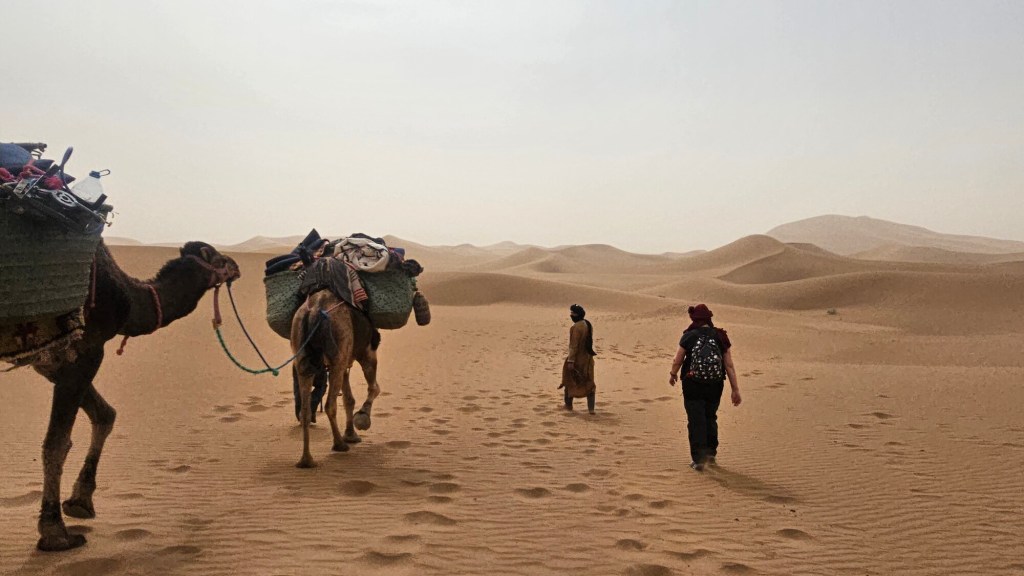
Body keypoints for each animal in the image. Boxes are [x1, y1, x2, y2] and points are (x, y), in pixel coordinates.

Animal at [7, 240, 239, 552]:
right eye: (217, 258)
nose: (236, 267)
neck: (128, 296)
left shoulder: (51, 358)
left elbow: (105, 414)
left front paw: (80, 501)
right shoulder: (87, 348)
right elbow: (58, 442)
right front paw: (55, 532)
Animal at [291, 289, 381, 469]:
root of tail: (315, 311)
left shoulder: (346, 360)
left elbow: (348, 399)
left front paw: (351, 434)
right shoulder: (367, 352)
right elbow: (374, 388)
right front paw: (362, 418)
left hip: (302, 355)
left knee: (305, 410)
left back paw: (306, 460)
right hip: (339, 351)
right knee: (329, 404)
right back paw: (339, 444)